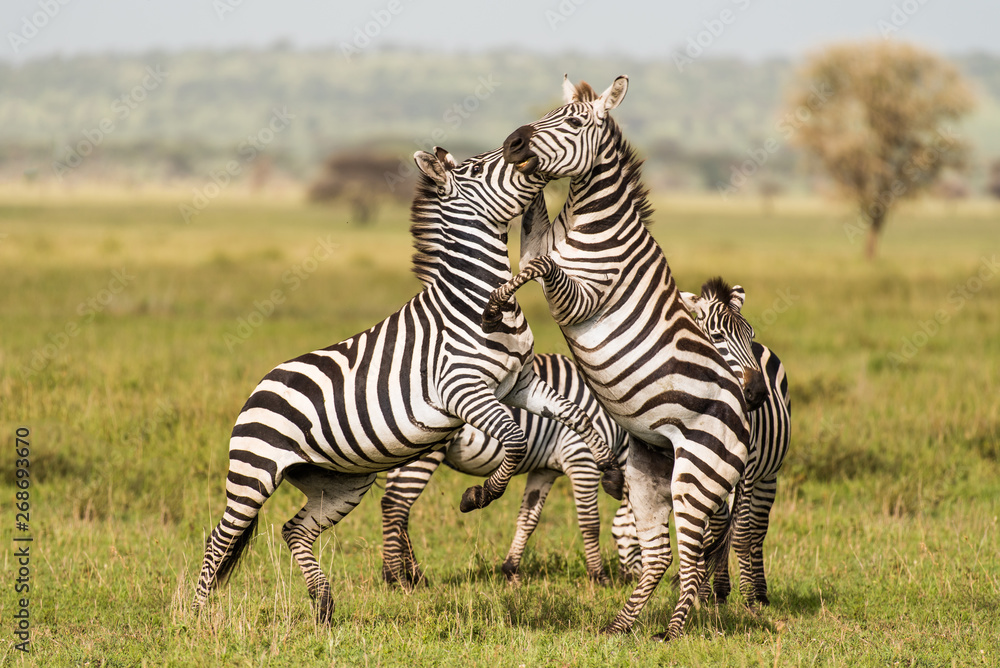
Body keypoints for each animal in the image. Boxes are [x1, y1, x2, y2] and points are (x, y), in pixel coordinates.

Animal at [381, 352, 631, 589]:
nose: (626, 582)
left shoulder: (544, 471)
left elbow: (528, 519)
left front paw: (511, 572)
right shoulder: (582, 459)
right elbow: (590, 522)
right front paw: (599, 577)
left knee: (397, 508)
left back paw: (415, 576)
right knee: (396, 505)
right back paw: (397, 579)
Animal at [480, 75, 766, 640]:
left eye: (573, 122)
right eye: (550, 113)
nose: (513, 142)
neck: (586, 223)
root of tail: (744, 408)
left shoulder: (584, 296)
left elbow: (540, 267)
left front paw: (496, 304)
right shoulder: (537, 246)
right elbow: (532, 244)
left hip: (696, 473)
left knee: (692, 557)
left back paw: (672, 633)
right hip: (647, 469)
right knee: (658, 555)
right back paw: (621, 627)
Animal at [678, 279, 791, 607]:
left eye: (749, 334)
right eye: (717, 336)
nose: (757, 393)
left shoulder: (749, 470)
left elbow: (741, 534)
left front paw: (749, 597)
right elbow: (711, 533)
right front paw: (707, 593)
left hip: (769, 476)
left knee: (757, 531)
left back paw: (760, 592)